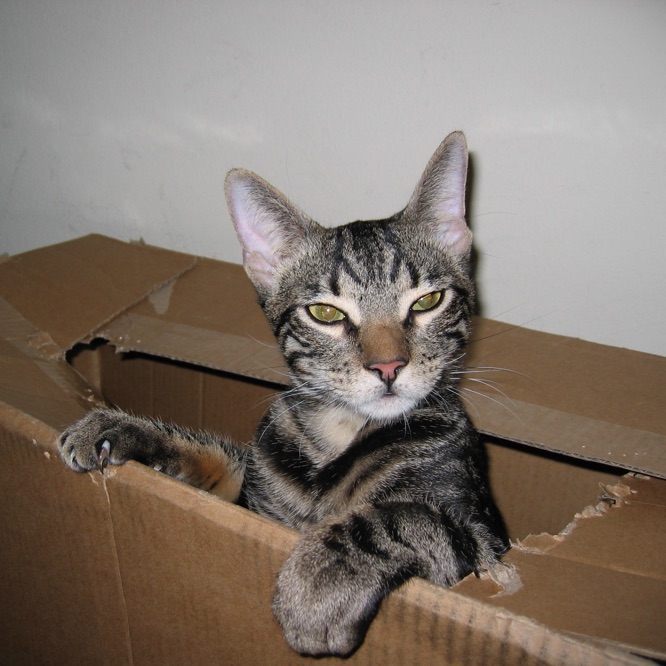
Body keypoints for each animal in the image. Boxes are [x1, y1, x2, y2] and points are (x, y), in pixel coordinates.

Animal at [59, 132, 506, 656]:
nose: (388, 366)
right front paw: (121, 426)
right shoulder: (252, 499)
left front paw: (317, 583)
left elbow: (405, 516)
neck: (339, 435)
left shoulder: (484, 546)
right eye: (325, 313)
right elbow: (217, 455)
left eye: (428, 301)